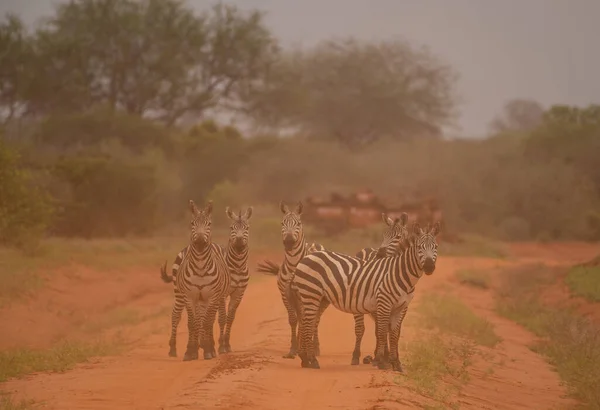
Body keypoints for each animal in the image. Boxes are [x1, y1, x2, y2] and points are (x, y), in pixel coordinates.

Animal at [159, 201, 230, 362]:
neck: (200, 267)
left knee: (206, 320)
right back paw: (173, 348)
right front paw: (190, 351)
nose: (199, 242)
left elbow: (207, 322)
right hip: (179, 293)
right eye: (192, 223)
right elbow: (192, 323)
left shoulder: (212, 296)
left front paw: (208, 349)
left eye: (209, 223)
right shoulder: (189, 296)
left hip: (213, 298)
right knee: (176, 316)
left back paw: (205, 345)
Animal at [216, 207, 253, 354]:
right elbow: (222, 317)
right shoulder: (222, 294)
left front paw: (226, 344)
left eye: (247, 228)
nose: (238, 240)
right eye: (231, 227)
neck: (237, 266)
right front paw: (221, 346)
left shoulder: (239, 293)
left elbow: (230, 317)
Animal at [256, 202, 326, 358]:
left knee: (316, 319)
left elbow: (306, 320)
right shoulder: (285, 293)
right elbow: (294, 319)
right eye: (282, 223)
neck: (294, 265)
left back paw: (316, 347)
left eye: (298, 223)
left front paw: (305, 348)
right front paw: (294, 349)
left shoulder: (304, 293)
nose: (288, 242)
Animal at [290, 223, 440, 370]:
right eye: (419, 247)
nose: (429, 267)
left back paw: (305, 359)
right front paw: (381, 361)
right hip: (311, 293)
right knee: (308, 323)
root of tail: (307, 257)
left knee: (308, 322)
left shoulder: (400, 308)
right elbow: (381, 332)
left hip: (319, 298)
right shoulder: (384, 303)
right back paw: (312, 360)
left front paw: (395, 364)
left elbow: (394, 334)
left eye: (436, 247)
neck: (399, 273)